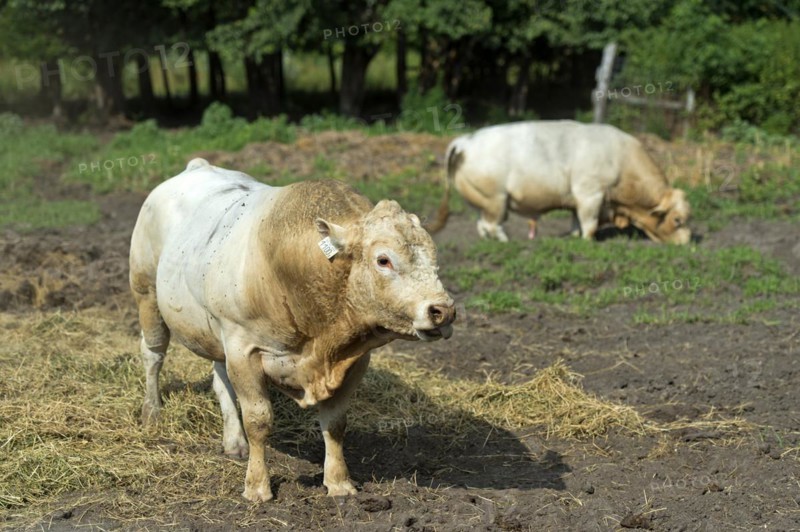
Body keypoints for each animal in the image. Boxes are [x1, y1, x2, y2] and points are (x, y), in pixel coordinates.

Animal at [129, 159, 456, 502]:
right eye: (383, 260)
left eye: (434, 258)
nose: (443, 311)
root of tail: (197, 166)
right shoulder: (244, 349)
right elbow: (259, 420)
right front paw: (257, 487)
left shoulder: (355, 359)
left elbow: (335, 422)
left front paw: (339, 483)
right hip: (146, 292)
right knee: (153, 354)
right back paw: (152, 412)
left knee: (220, 379)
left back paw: (234, 441)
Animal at [425, 120, 691, 244]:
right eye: (677, 220)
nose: (686, 242)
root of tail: (463, 142)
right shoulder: (590, 195)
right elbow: (589, 223)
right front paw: (588, 241)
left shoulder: (578, 200)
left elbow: (575, 222)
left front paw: (574, 237)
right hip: (496, 199)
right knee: (492, 225)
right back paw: (506, 241)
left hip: (484, 201)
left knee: (482, 225)